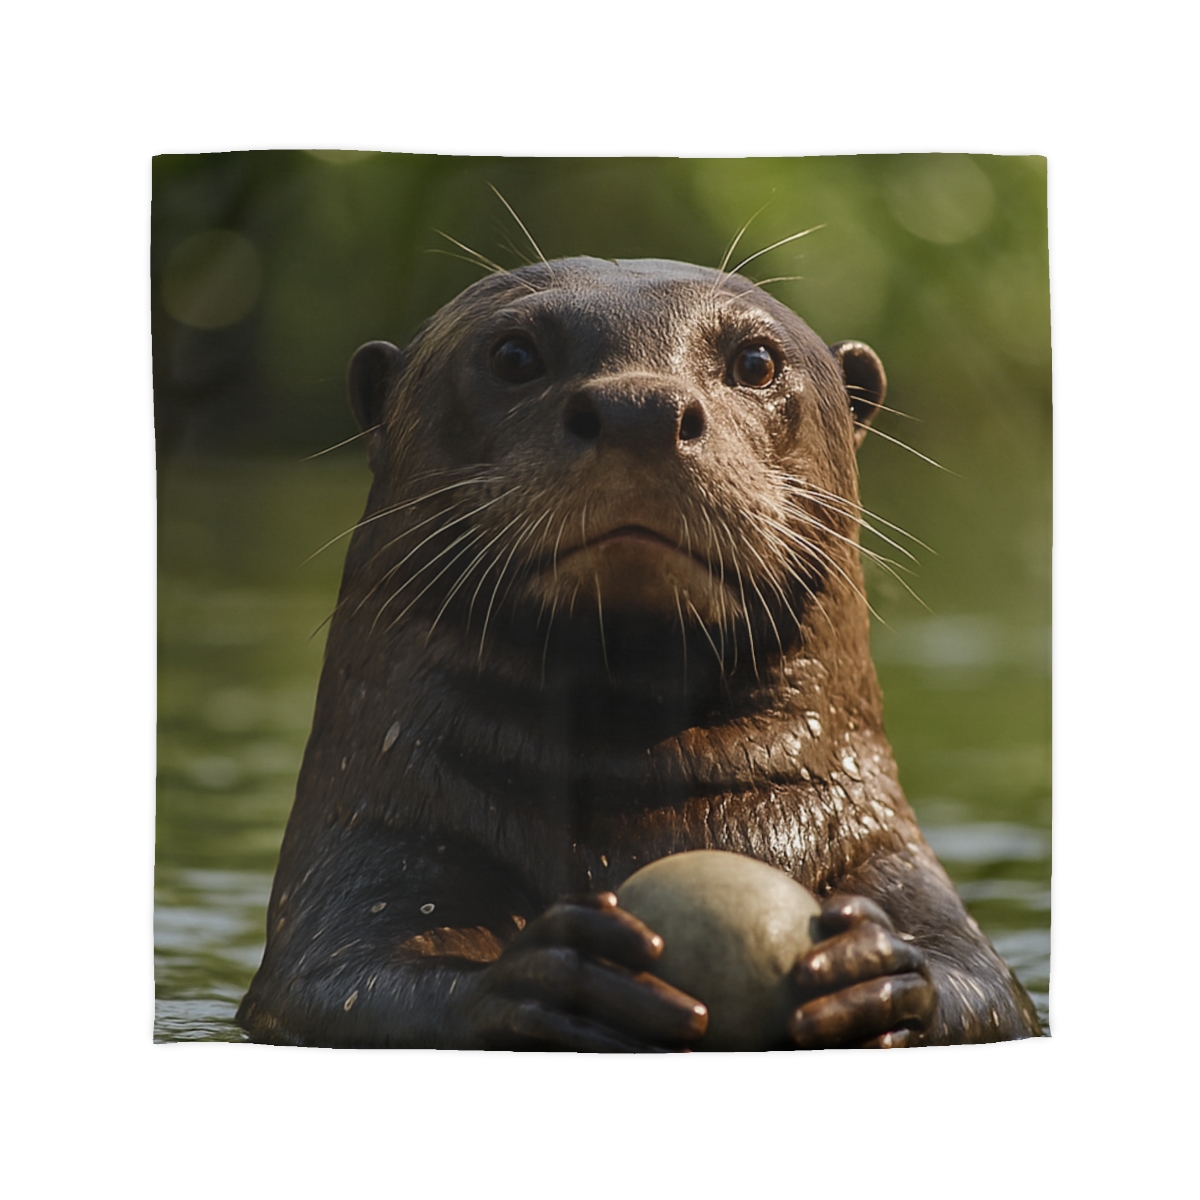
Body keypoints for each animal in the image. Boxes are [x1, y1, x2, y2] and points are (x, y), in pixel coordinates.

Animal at [237, 256, 1043, 1049]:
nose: (642, 408)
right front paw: (564, 974)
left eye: (756, 361)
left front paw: (868, 969)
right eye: (513, 355)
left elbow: (985, 987)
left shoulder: (884, 856)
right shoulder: (375, 847)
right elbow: (344, 983)